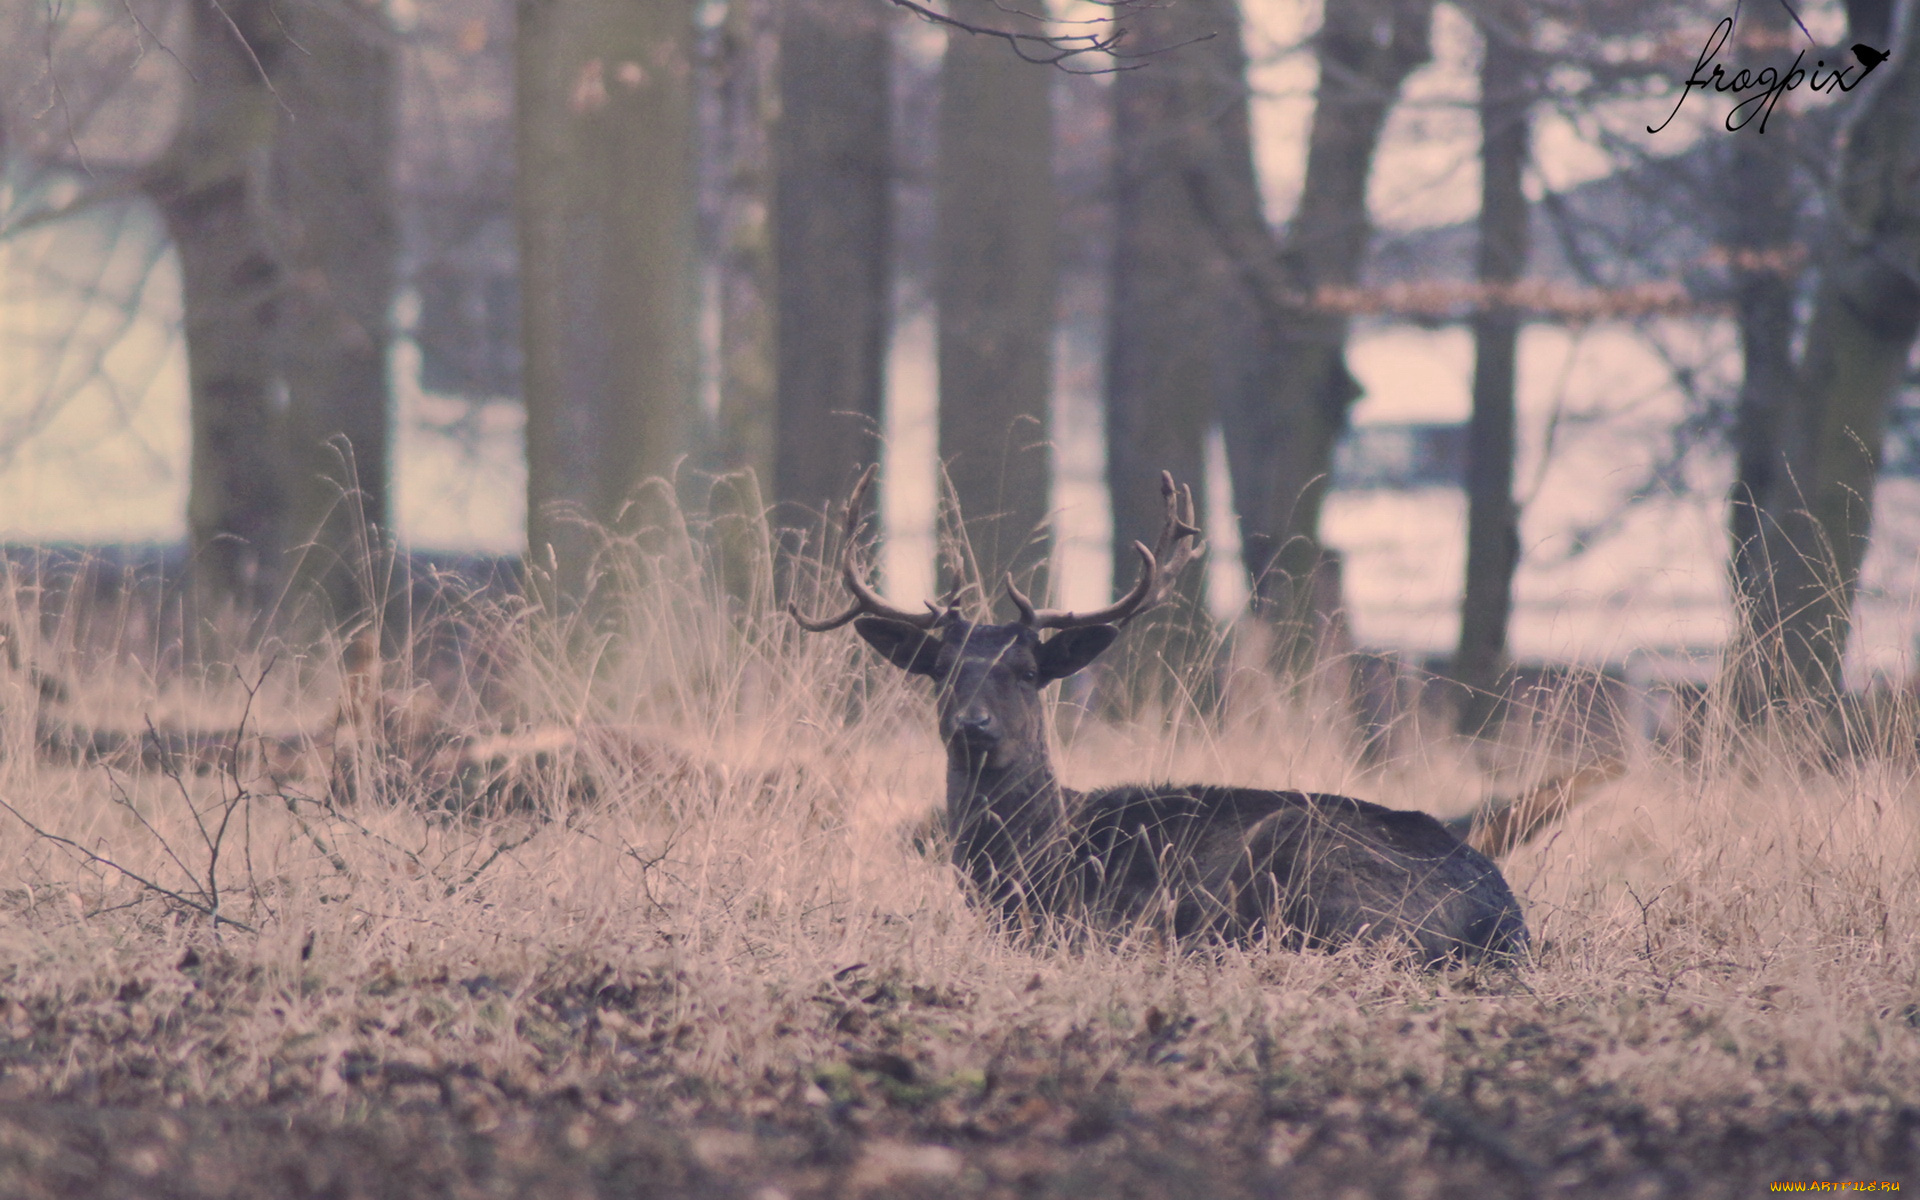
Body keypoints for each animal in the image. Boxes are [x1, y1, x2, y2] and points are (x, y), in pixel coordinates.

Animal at [791, 466, 1528, 963]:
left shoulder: (1095, 919)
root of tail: (1501, 922)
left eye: (1028, 673)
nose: (973, 724)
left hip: (1302, 859)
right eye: (942, 671)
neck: (1034, 863)